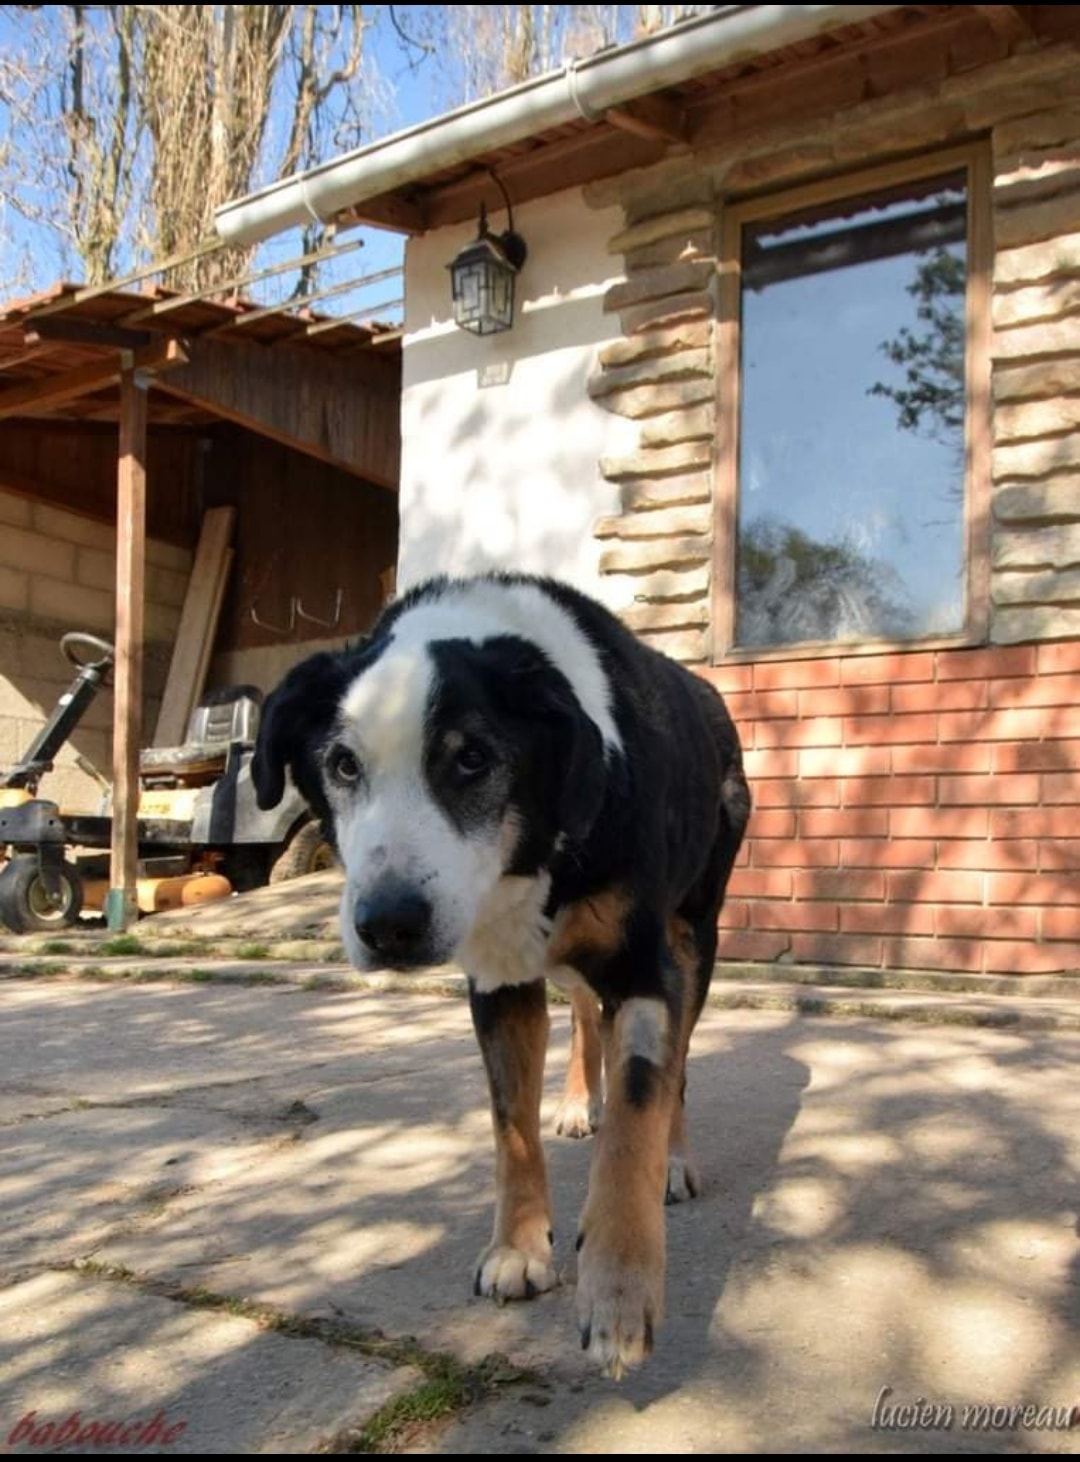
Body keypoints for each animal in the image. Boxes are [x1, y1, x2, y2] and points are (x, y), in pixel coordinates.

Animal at [251, 573, 754, 1380]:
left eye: (473, 759)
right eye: (343, 765)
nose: (388, 924)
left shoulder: (645, 968)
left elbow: (637, 1122)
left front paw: (618, 1295)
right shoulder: (497, 983)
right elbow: (509, 1123)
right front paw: (518, 1250)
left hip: (696, 931)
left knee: (675, 1062)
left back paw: (674, 1159)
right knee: (582, 1011)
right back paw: (579, 1103)